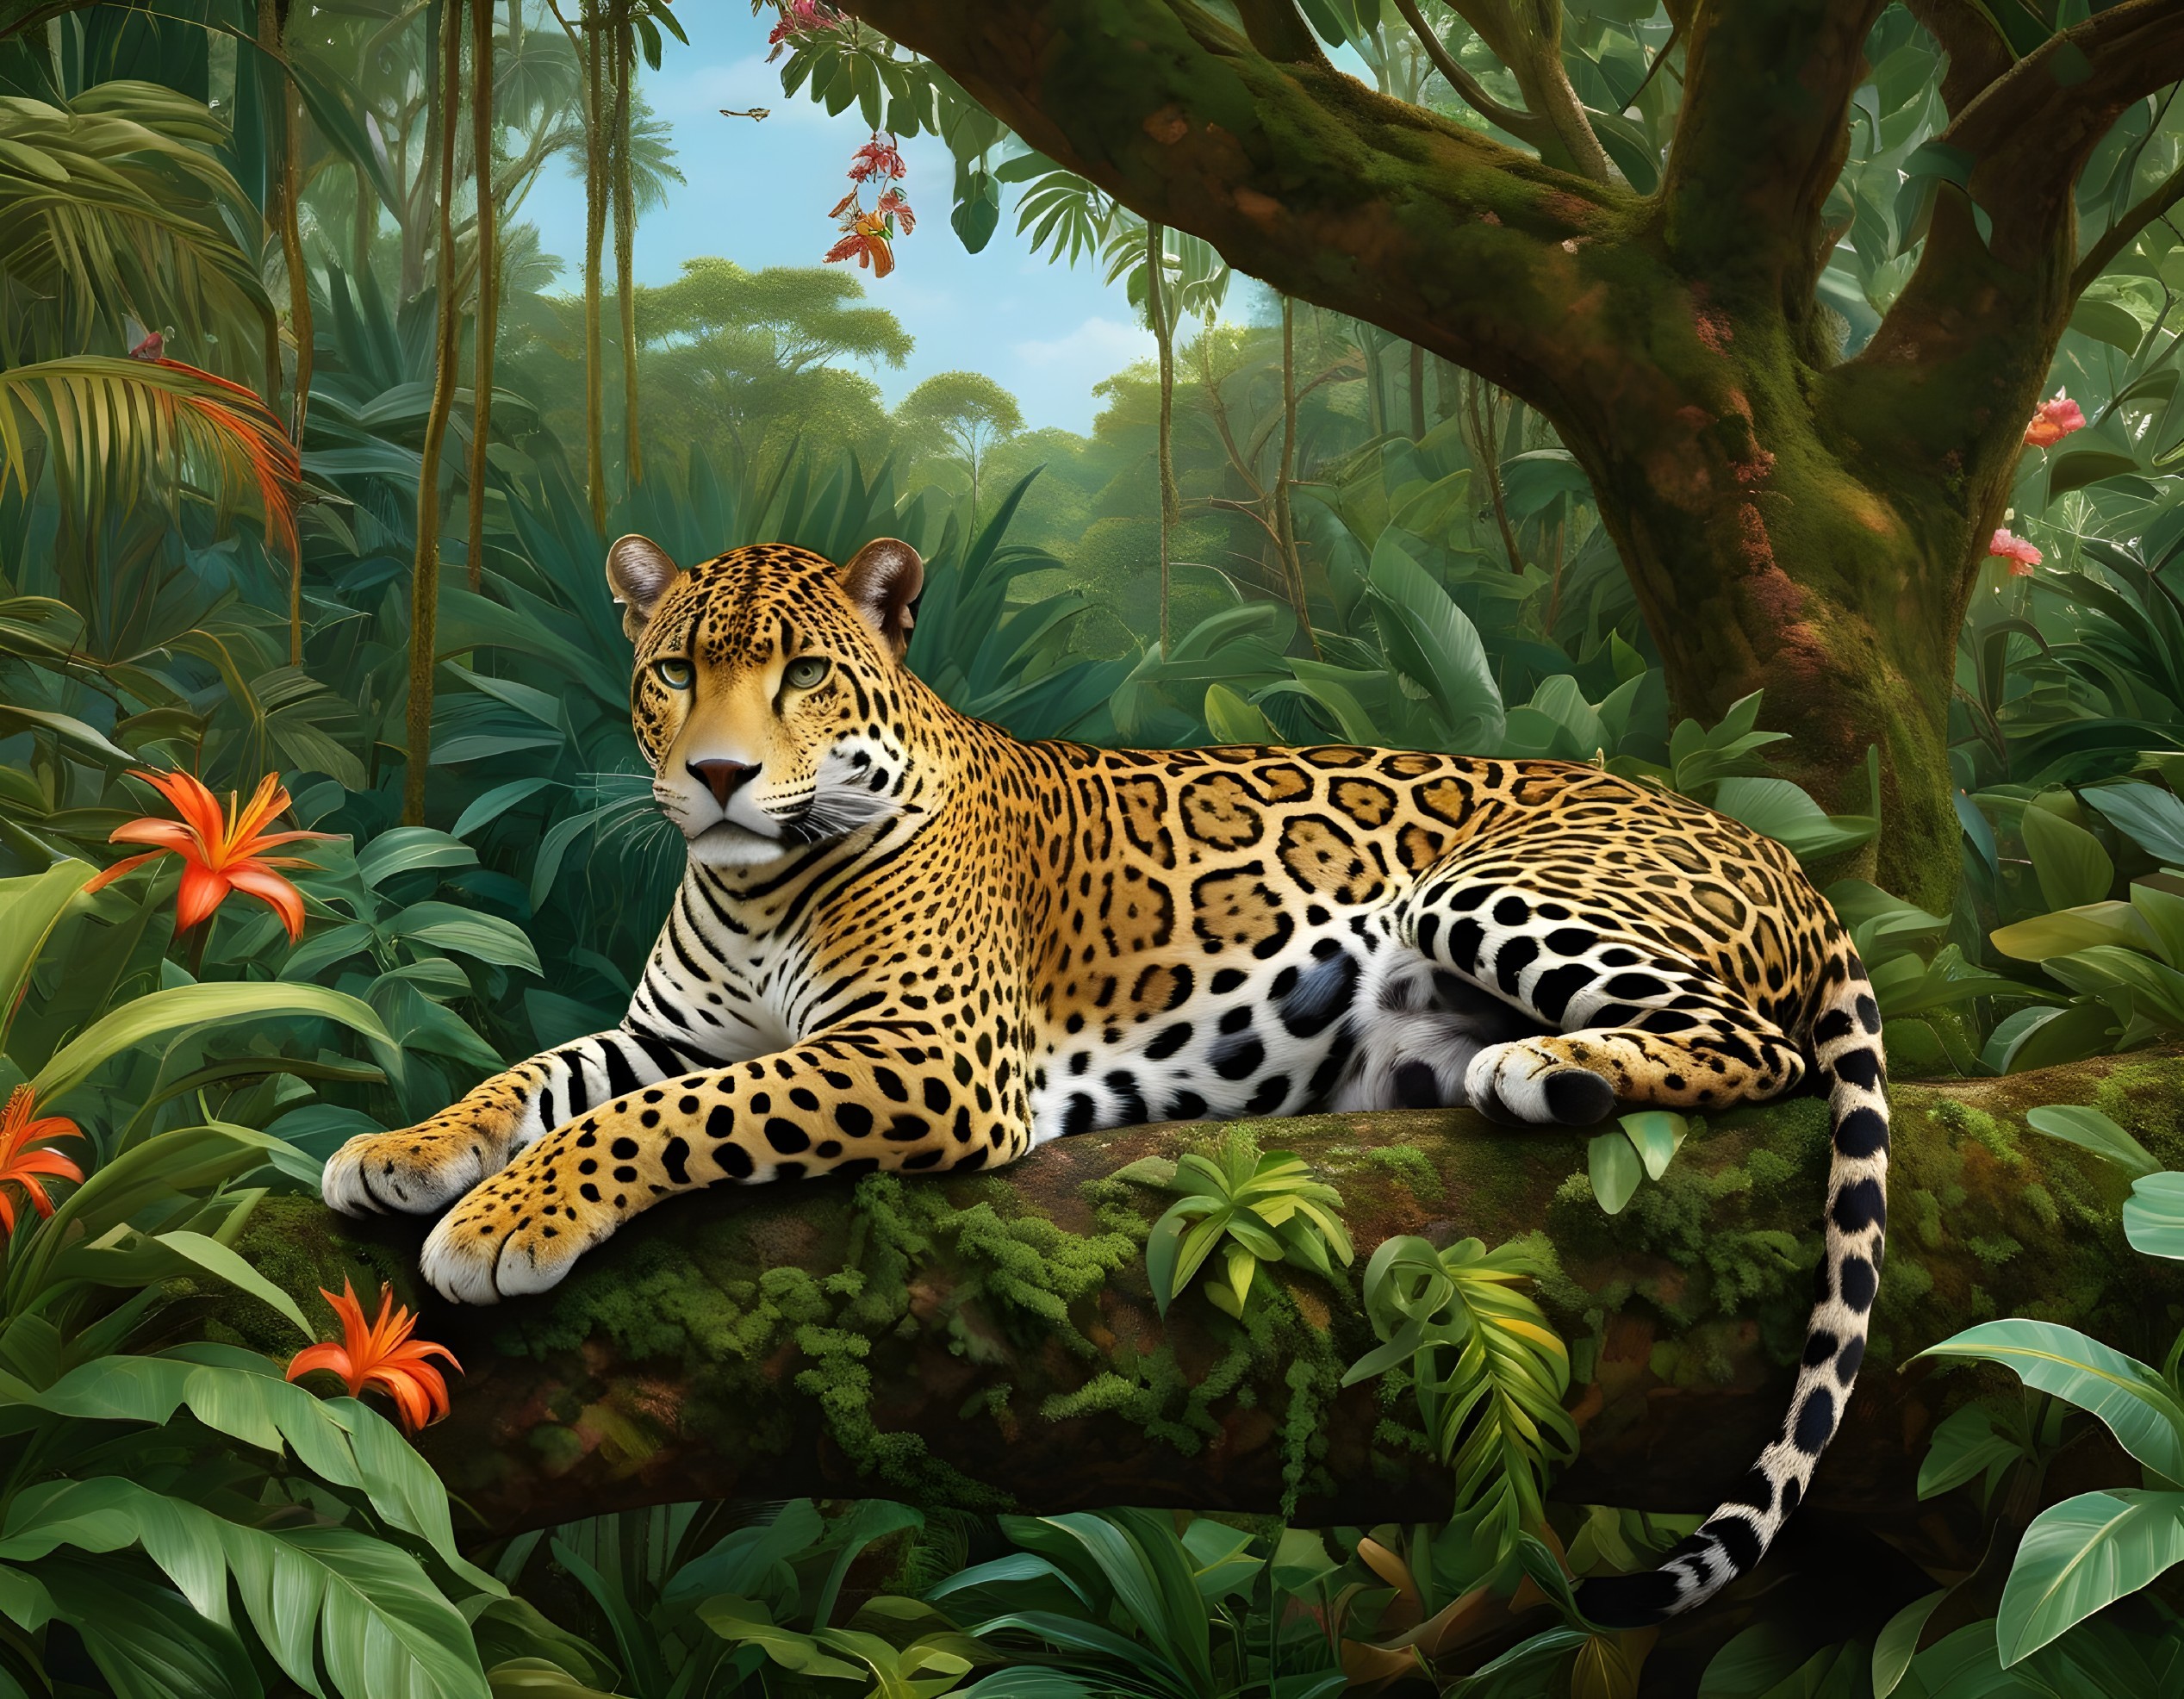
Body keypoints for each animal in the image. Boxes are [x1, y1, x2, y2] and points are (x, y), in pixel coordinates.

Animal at [324, 532, 1890, 1627]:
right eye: (671, 672)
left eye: (802, 676)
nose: (715, 775)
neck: (758, 886)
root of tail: (1779, 848)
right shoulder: (680, 1032)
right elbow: (553, 1073)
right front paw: (408, 1150)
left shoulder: (925, 1058)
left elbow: (660, 1118)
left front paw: (503, 1224)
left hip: (1496, 889)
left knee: (1758, 1048)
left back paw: (1544, 1069)